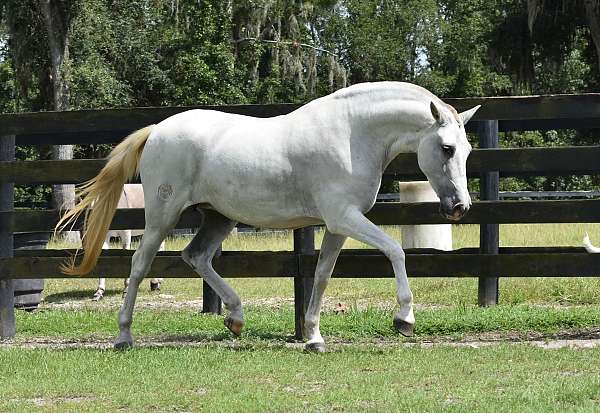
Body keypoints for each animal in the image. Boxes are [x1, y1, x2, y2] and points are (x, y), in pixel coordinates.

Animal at [56, 81, 478, 350]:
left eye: (468, 150)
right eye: (446, 148)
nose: (459, 207)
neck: (352, 134)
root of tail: (158, 129)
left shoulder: (339, 225)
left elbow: (321, 275)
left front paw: (313, 338)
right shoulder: (345, 218)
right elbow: (395, 250)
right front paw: (404, 319)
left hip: (218, 217)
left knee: (196, 256)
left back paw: (236, 318)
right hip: (163, 215)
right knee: (140, 265)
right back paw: (124, 337)